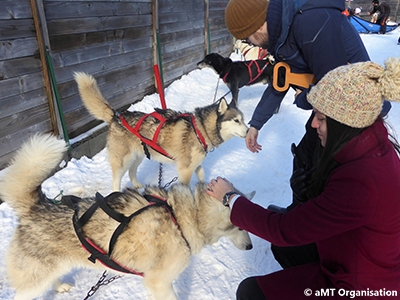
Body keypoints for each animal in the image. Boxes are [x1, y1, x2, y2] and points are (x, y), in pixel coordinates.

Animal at [0, 135, 253, 300]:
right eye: (240, 226)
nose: (251, 247)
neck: (182, 218)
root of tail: (36, 205)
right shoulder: (159, 282)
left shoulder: (155, 284)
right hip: (34, 281)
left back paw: (59, 286)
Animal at [74, 71, 248, 191]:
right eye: (236, 120)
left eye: (243, 119)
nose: (248, 131)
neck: (201, 129)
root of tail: (116, 116)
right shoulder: (185, 169)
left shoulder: (195, 164)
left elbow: (201, 175)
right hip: (123, 159)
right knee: (116, 180)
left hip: (138, 156)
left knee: (132, 172)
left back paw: (138, 186)